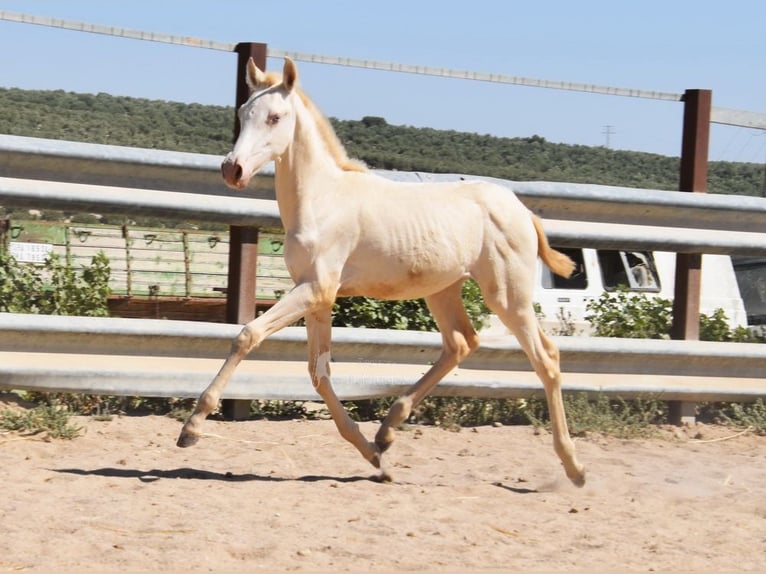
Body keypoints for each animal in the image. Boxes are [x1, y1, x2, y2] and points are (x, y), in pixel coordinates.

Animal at [178, 57, 588, 490]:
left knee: (546, 357)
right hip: (443, 290)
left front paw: (192, 428)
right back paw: (387, 431)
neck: (322, 200)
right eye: (242, 113)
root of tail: (521, 210)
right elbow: (318, 373)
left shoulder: (316, 289)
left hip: (507, 293)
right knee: (462, 343)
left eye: (275, 117)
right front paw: (373, 456)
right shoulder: (317, 297)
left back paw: (574, 467)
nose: (232, 169)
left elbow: (247, 335)